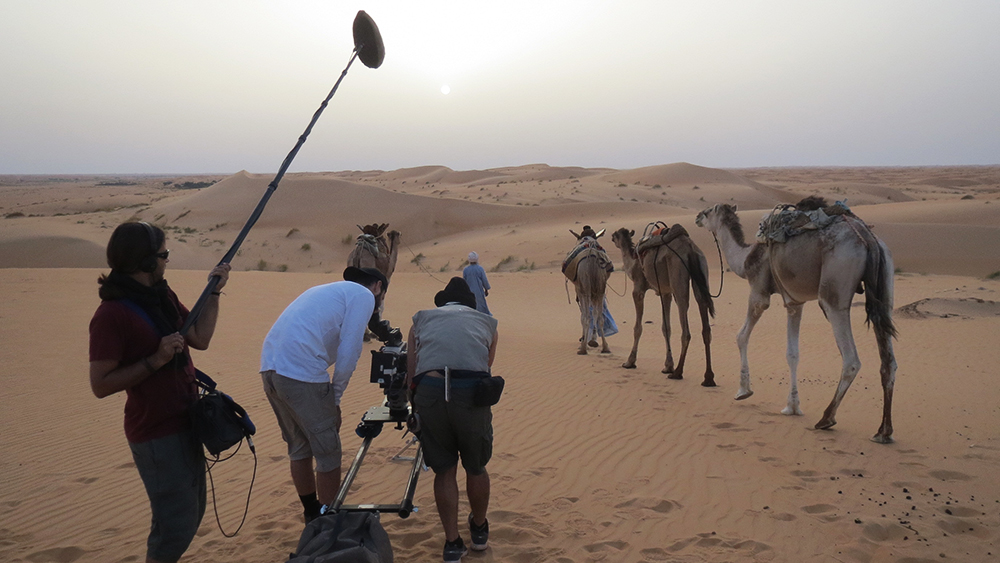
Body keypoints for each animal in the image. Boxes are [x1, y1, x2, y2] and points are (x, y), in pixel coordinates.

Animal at [604, 226, 716, 388]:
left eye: (616, 234)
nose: (612, 236)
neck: (632, 259)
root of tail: (691, 250)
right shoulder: (665, 292)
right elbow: (666, 328)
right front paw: (668, 366)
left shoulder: (638, 289)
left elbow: (638, 328)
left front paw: (630, 362)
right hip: (701, 272)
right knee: (704, 316)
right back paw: (708, 378)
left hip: (678, 276)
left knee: (685, 323)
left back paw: (678, 373)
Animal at [696, 199, 900, 446]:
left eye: (708, 211)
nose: (697, 217)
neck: (745, 259)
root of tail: (868, 239)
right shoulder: (795, 302)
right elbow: (792, 354)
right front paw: (792, 407)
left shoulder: (759, 292)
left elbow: (741, 336)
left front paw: (743, 390)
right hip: (886, 284)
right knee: (889, 360)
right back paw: (883, 432)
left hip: (835, 287)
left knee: (851, 359)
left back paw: (826, 418)